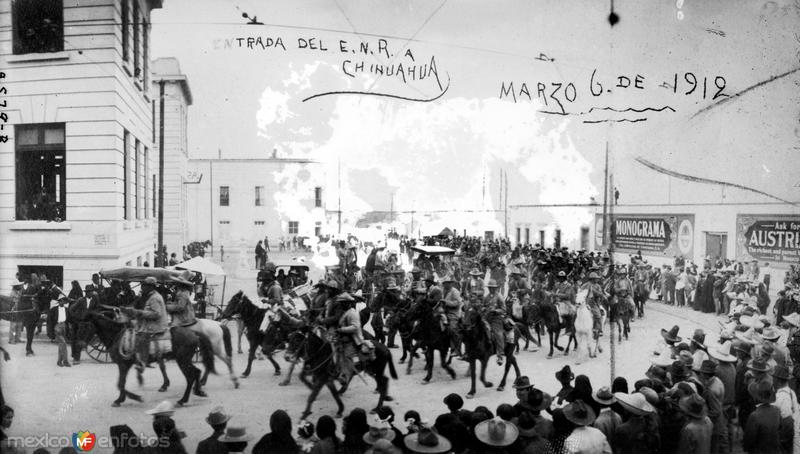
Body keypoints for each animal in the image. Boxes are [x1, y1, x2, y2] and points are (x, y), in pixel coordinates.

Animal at [83, 306, 216, 406]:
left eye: (86, 325)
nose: (81, 344)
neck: (117, 336)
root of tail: (194, 333)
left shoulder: (123, 364)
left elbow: (120, 383)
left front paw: (132, 398)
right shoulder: (125, 365)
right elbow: (121, 382)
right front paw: (121, 399)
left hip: (183, 361)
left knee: (191, 376)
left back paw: (183, 400)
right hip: (185, 360)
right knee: (197, 372)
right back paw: (198, 391)